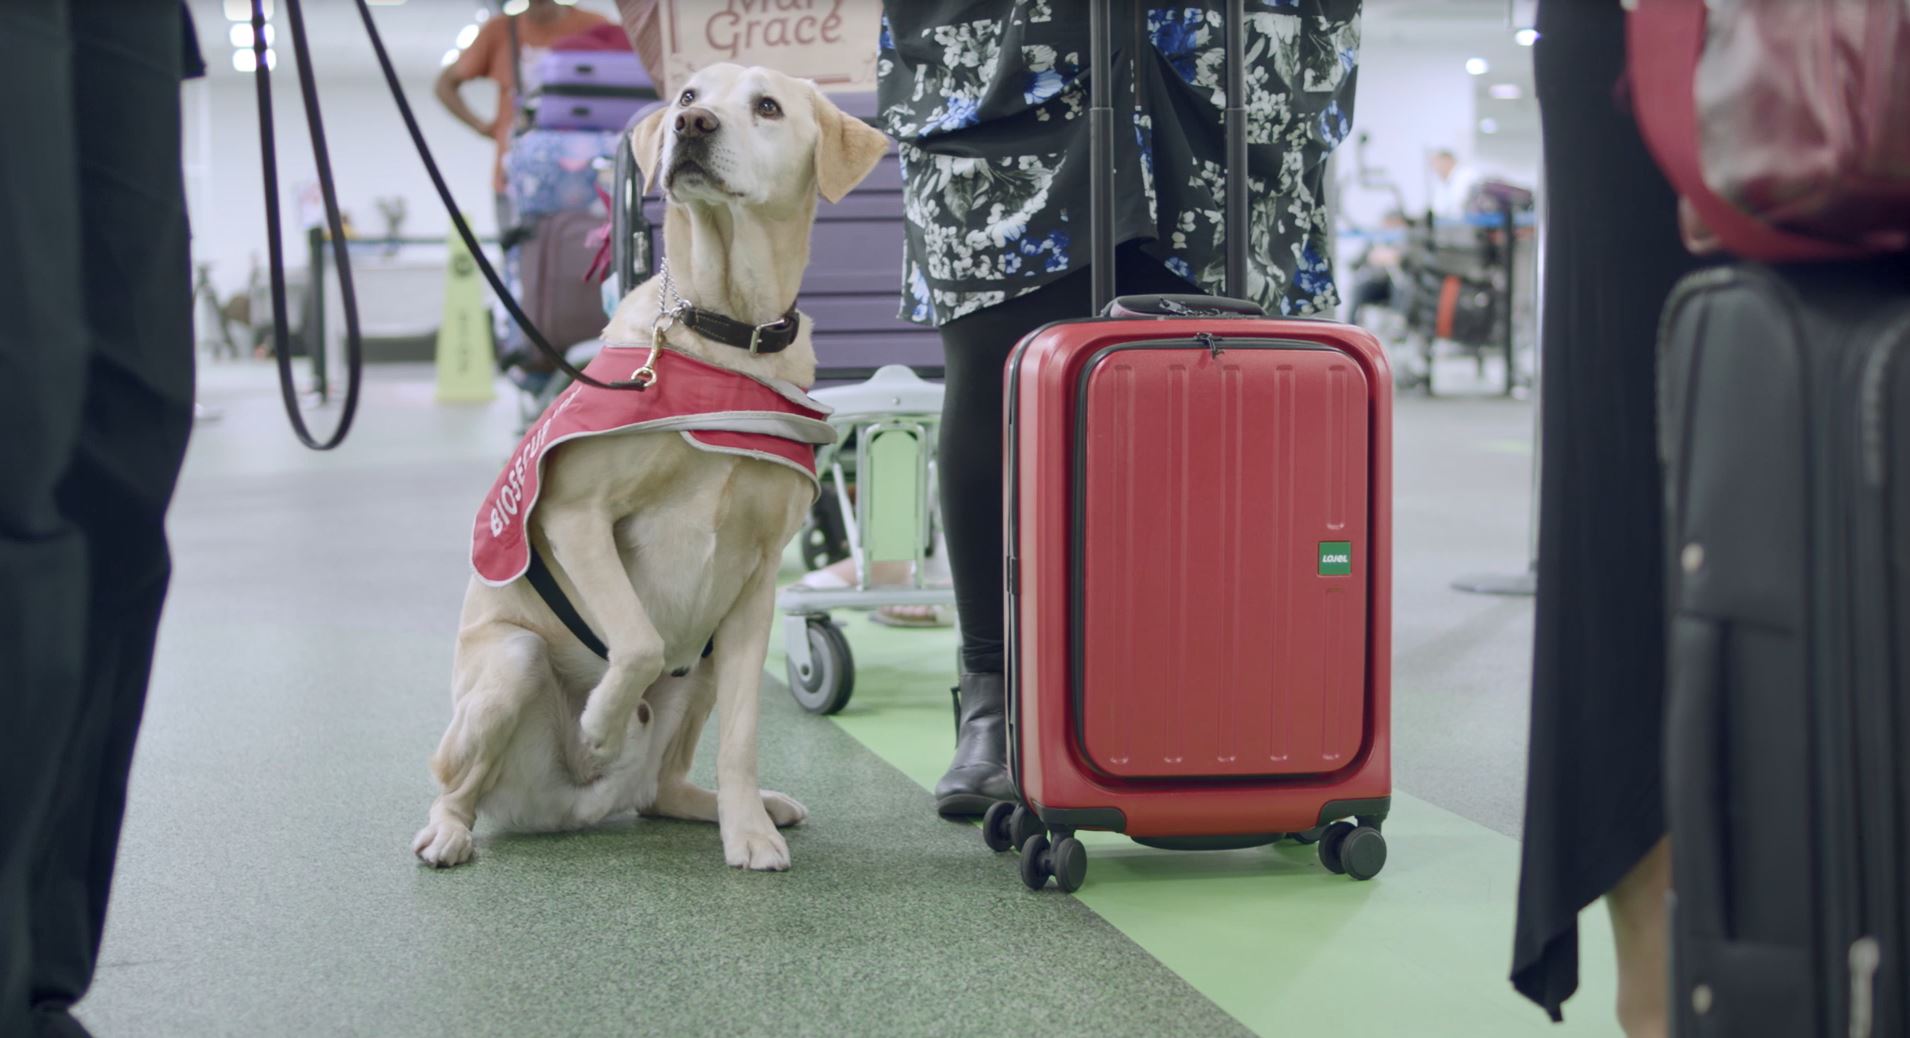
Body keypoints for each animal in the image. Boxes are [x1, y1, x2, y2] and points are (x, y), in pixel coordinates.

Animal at [410, 64, 886, 871]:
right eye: (690, 96)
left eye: (767, 106)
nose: (691, 127)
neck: (726, 334)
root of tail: (570, 810)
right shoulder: (574, 516)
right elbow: (635, 639)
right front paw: (602, 723)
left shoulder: (758, 583)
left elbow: (743, 735)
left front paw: (746, 831)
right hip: (512, 661)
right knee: (455, 781)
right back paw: (452, 829)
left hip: (703, 665)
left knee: (662, 787)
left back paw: (739, 806)